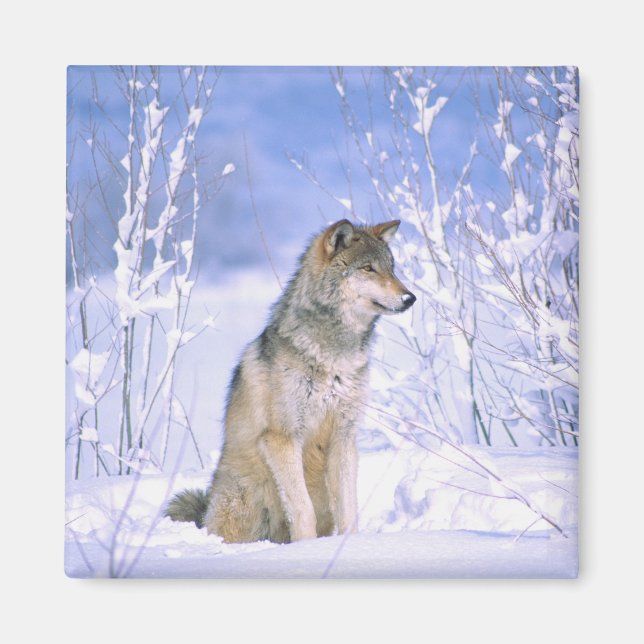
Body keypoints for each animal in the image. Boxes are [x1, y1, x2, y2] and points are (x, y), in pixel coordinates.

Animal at [165, 219, 415, 543]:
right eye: (368, 268)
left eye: (391, 268)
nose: (410, 297)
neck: (334, 357)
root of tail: (204, 513)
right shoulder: (281, 438)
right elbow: (301, 509)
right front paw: (306, 548)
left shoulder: (344, 437)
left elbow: (349, 510)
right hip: (244, 501)